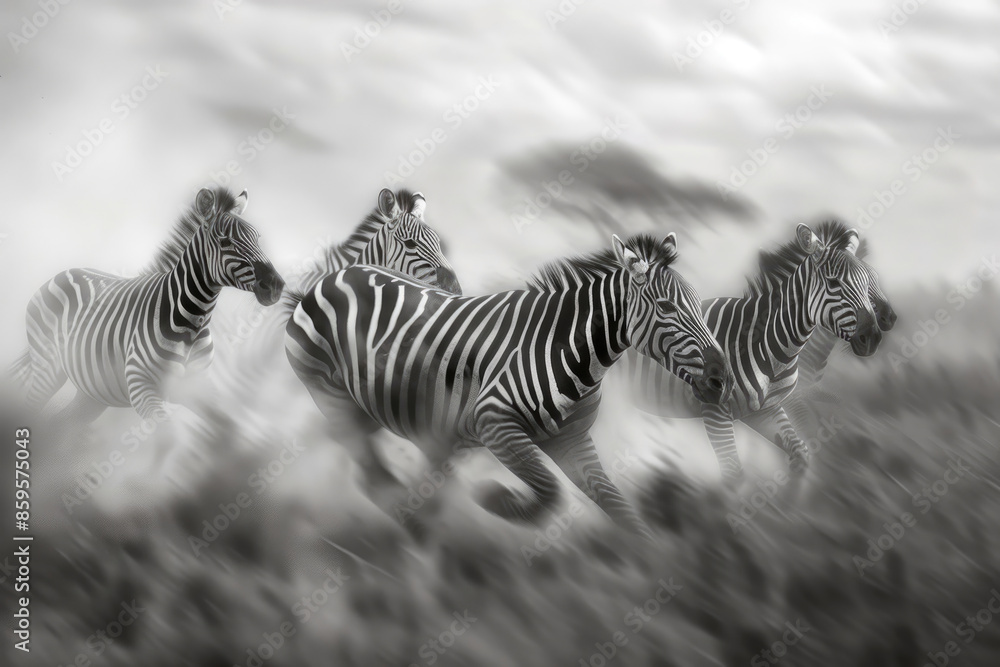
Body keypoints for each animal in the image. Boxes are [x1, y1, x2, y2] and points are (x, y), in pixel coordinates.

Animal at [12, 187, 284, 425]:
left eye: (258, 239)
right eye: (225, 241)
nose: (276, 285)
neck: (193, 320)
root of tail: (68, 271)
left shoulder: (198, 387)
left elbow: (229, 430)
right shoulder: (141, 388)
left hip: (92, 393)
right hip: (48, 369)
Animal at [284, 232, 734, 539]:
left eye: (698, 304)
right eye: (667, 307)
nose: (721, 379)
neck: (570, 350)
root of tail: (340, 273)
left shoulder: (571, 440)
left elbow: (621, 510)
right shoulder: (495, 423)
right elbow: (551, 494)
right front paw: (492, 499)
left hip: (411, 420)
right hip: (332, 394)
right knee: (368, 470)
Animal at [618, 221, 886, 483]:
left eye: (868, 282)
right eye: (833, 283)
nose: (873, 337)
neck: (772, 347)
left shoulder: (765, 410)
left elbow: (801, 453)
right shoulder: (716, 411)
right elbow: (733, 473)